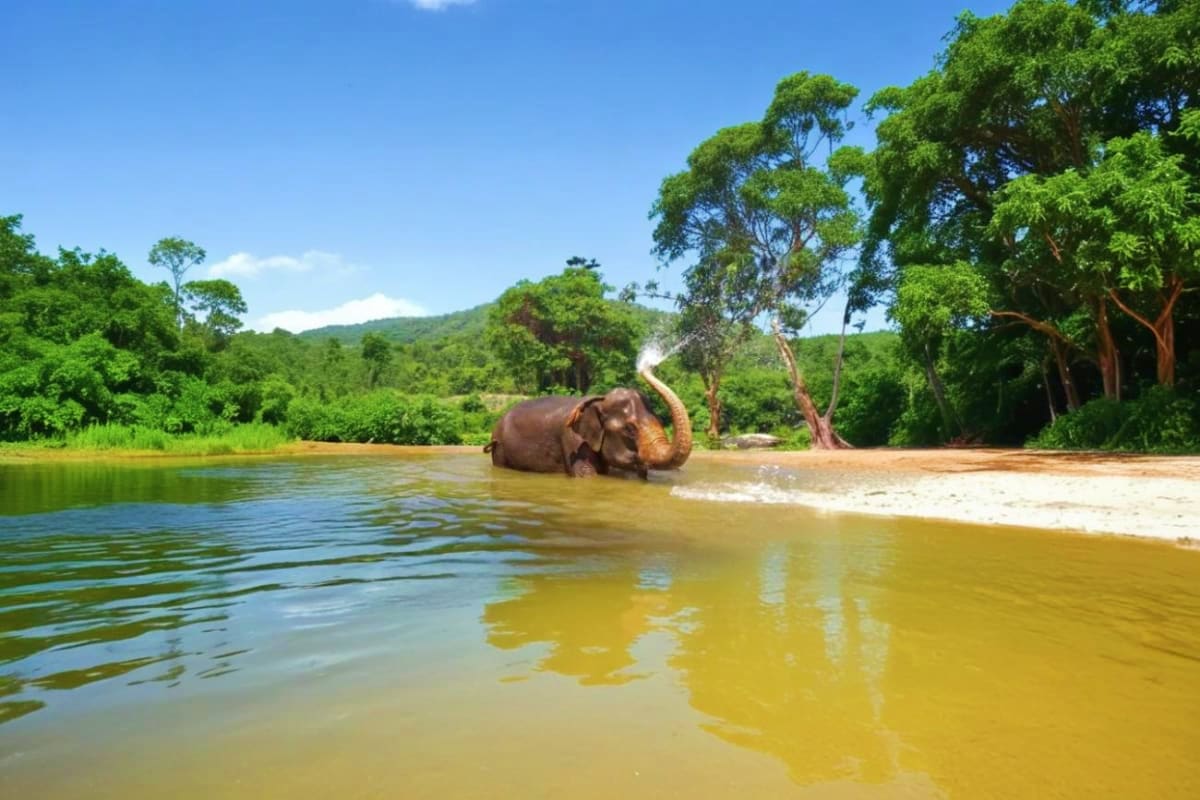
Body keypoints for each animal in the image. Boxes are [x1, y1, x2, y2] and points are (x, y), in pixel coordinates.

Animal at [484, 366, 693, 478]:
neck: (600, 400)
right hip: (500, 449)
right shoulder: (573, 441)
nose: (646, 367)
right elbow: (586, 476)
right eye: (629, 429)